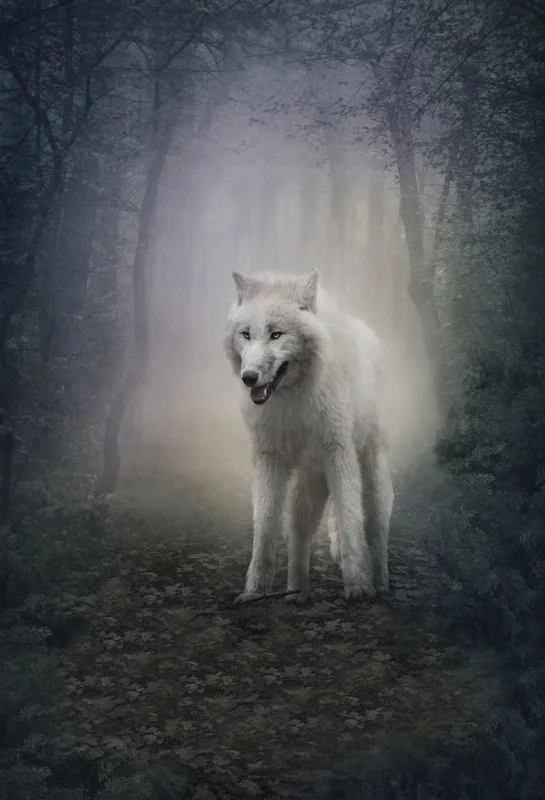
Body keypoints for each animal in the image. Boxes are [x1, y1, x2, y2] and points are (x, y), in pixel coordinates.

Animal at [223, 269, 394, 604]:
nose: (249, 378)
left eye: (276, 334)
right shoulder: (268, 459)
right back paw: (296, 591)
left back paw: (380, 580)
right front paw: (255, 591)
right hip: (310, 478)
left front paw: (359, 586)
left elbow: (351, 519)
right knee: (299, 528)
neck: (292, 401)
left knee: (376, 522)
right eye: (246, 334)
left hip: (368, 468)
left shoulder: (339, 453)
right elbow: (265, 528)